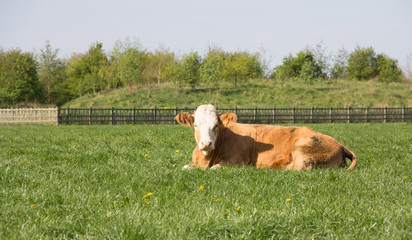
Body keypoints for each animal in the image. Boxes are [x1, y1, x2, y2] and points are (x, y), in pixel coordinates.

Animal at [175, 105, 356, 171]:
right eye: (196, 125)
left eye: (216, 125)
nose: (206, 143)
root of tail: (340, 145)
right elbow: (185, 167)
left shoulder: (238, 162)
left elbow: (215, 168)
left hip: (304, 151)